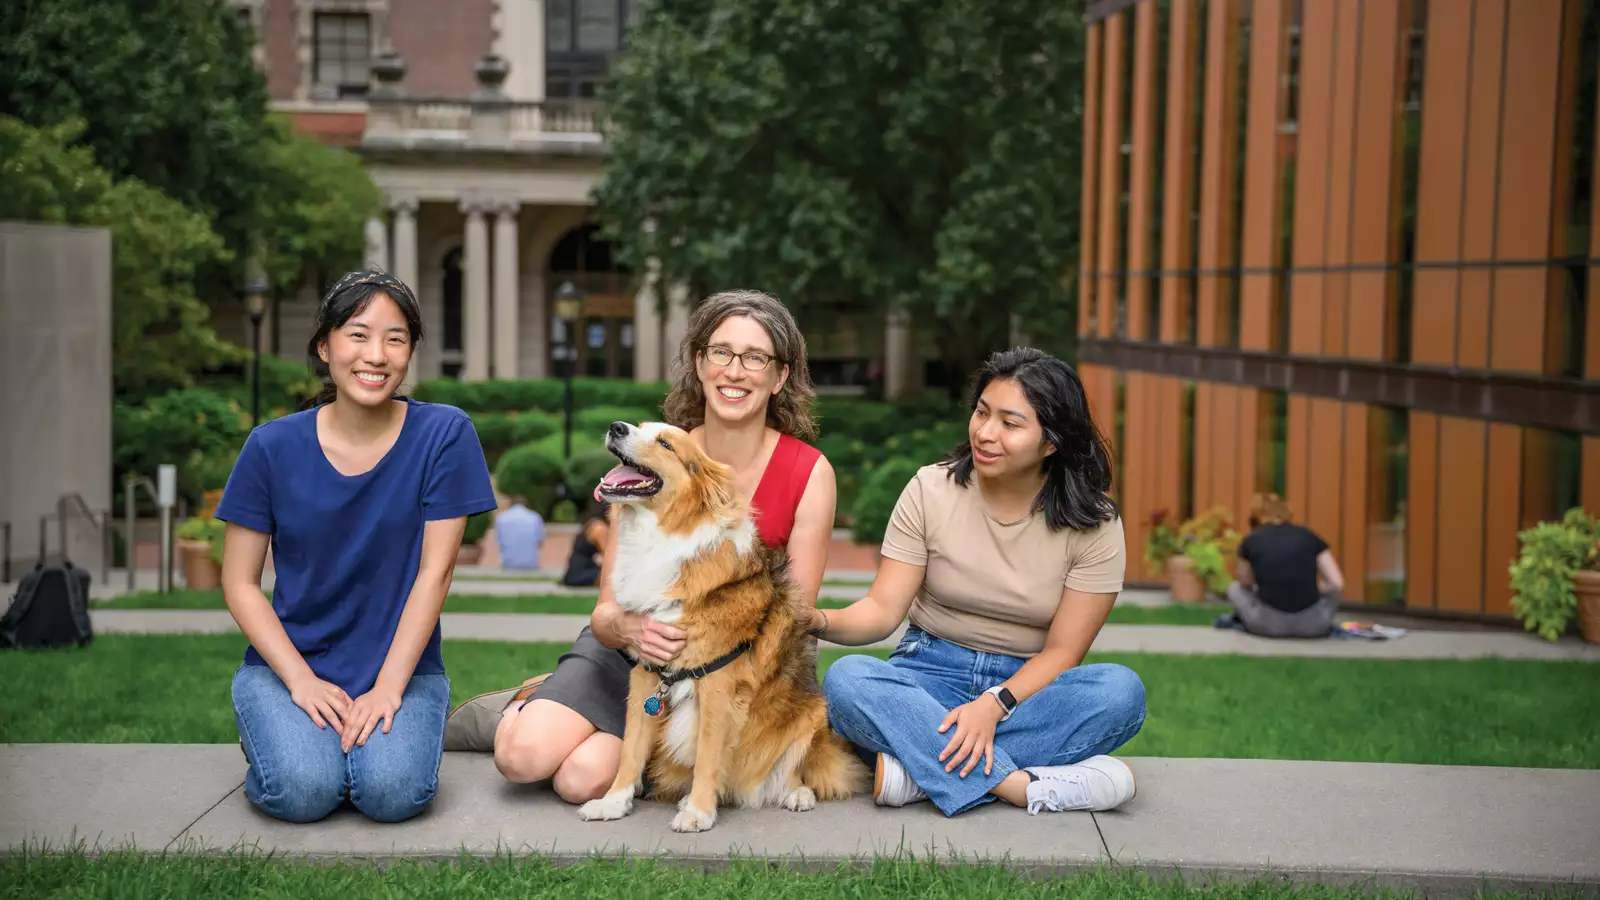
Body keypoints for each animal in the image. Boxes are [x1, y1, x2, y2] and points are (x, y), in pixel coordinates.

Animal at [579, 419, 870, 826]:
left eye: (666, 444)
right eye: (638, 427)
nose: (616, 426)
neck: (663, 538)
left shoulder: (717, 683)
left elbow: (707, 755)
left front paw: (699, 813)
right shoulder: (646, 674)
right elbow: (631, 749)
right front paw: (614, 802)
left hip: (812, 716)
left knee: (798, 770)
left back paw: (795, 794)